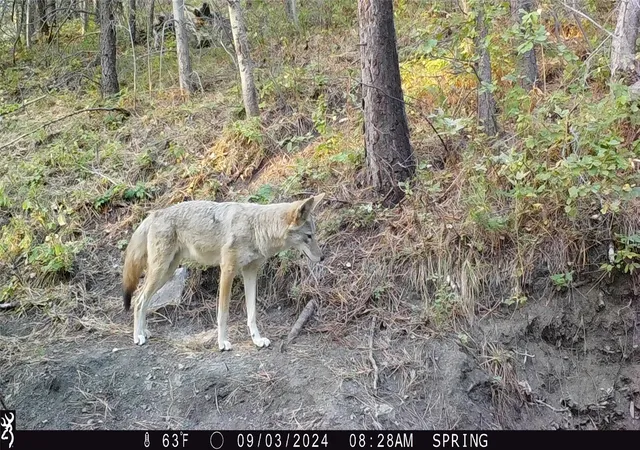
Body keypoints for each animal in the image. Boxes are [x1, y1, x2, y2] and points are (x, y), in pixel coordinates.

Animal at [121, 193, 325, 351]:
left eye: (314, 235)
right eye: (309, 236)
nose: (322, 257)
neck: (256, 227)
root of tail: (155, 213)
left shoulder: (250, 272)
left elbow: (252, 313)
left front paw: (257, 340)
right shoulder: (227, 270)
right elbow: (223, 313)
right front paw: (222, 343)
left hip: (167, 272)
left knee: (143, 300)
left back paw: (144, 331)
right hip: (161, 271)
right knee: (138, 299)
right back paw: (138, 336)